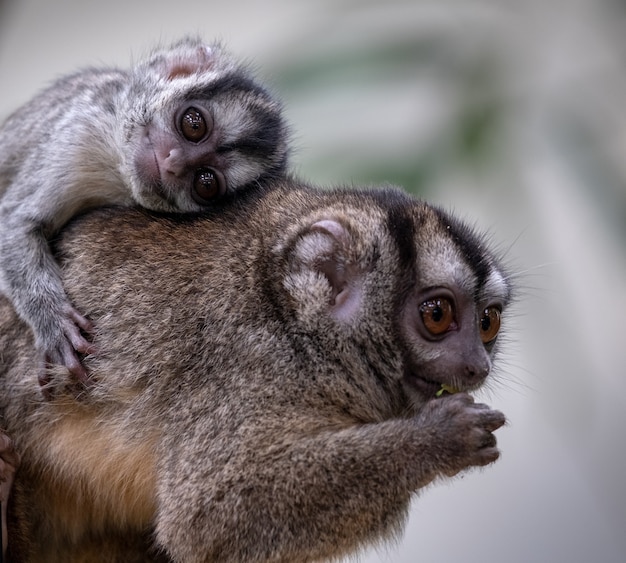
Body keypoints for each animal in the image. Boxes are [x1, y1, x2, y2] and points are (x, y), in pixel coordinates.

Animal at [0, 36, 288, 388]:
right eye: (194, 124)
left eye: (205, 182)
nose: (173, 163)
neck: (116, 167)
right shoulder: (78, 130)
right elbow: (16, 222)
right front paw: (54, 323)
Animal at [0, 177, 510, 563]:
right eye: (437, 315)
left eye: (488, 323)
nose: (477, 365)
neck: (296, 330)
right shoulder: (247, 366)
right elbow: (205, 517)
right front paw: (442, 437)